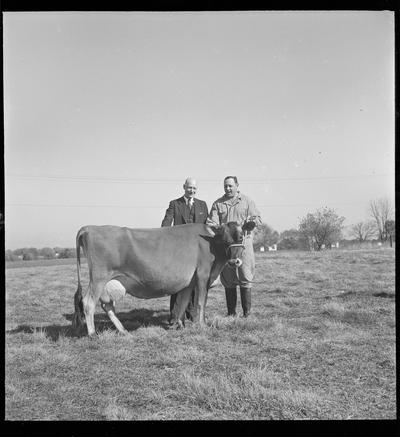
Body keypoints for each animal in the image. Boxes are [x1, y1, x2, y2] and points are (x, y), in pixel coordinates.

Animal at [72, 220, 255, 336]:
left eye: (240, 237)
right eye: (224, 239)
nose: (234, 261)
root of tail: (88, 228)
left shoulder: (189, 282)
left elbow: (182, 303)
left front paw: (178, 325)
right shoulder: (203, 275)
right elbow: (200, 303)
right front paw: (202, 325)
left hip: (106, 281)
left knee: (107, 305)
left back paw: (123, 330)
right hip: (98, 277)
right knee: (88, 302)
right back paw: (92, 333)